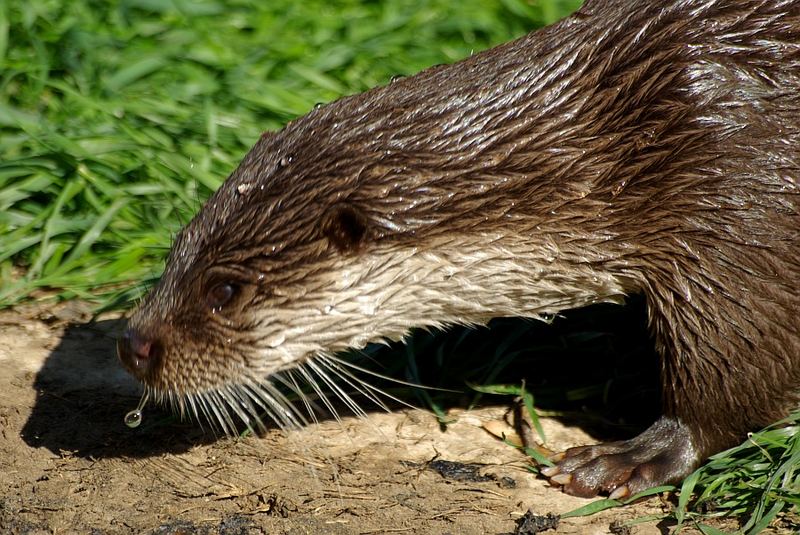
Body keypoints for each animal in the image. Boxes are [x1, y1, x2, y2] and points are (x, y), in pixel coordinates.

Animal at [119, 0, 800, 502]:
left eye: (224, 290)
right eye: (174, 250)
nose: (134, 345)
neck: (627, 142)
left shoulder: (738, 191)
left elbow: (741, 363)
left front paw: (636, 455)